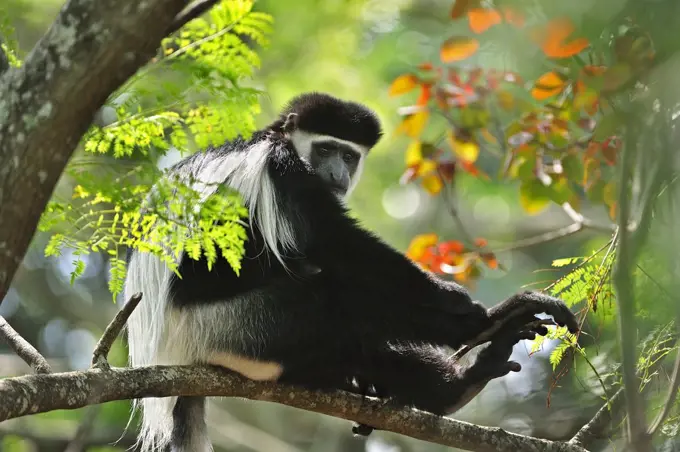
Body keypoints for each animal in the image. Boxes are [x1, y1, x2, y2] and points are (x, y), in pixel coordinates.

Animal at [123, 92, 580, 452]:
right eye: (325, 150)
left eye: (349, 155)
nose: (338, 173)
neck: (277, 139)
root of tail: (172, 352)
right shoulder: (279, 171)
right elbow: (336, 241)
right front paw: (464, 308)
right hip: (234, 327)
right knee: (339, 296)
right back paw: (483, 331)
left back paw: (460, 382)